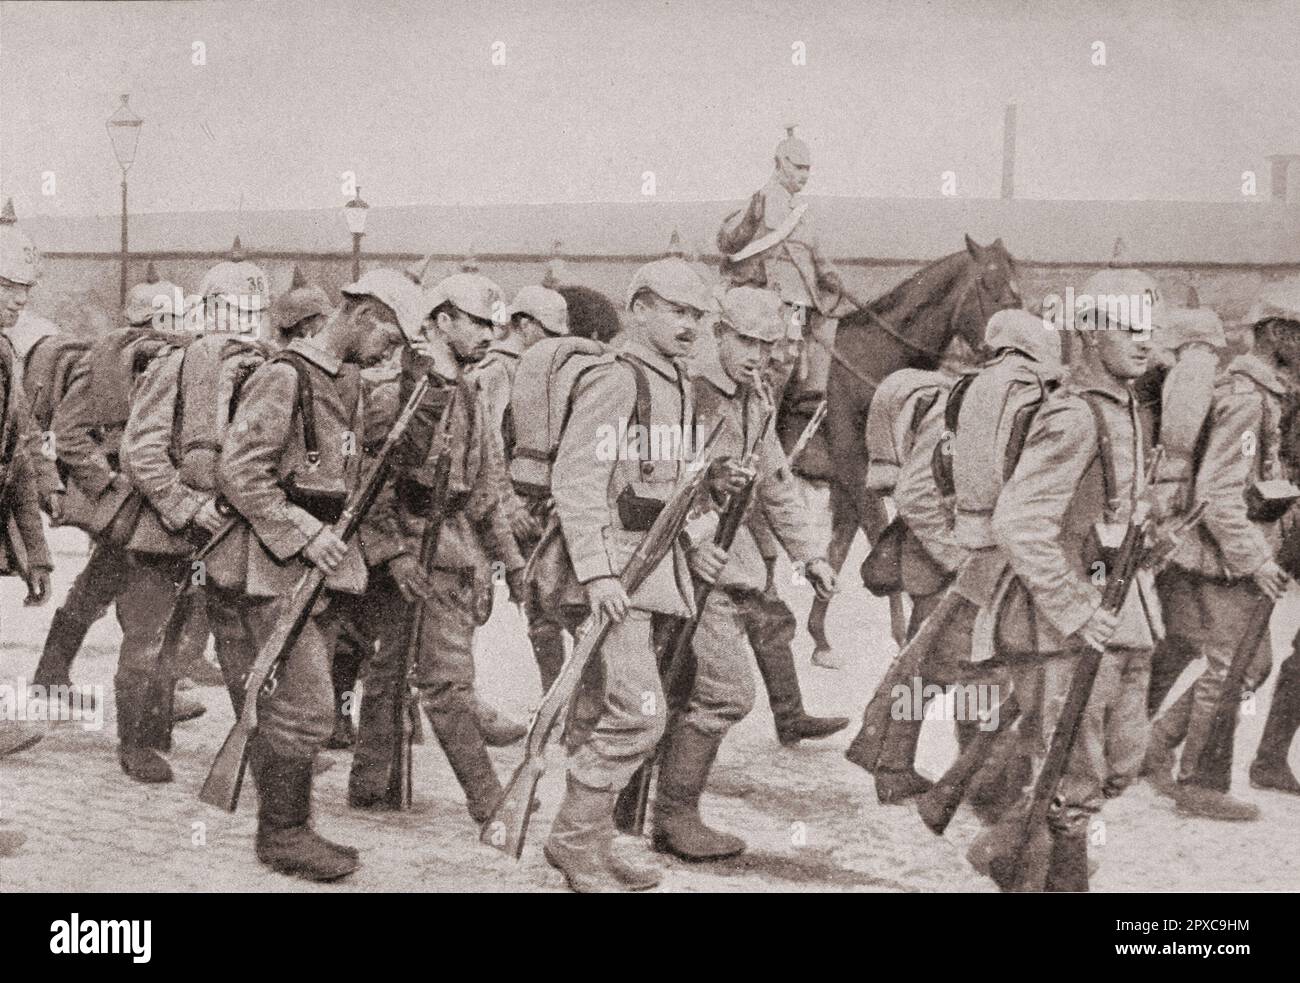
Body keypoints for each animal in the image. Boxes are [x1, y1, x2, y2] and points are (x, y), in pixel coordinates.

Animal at [790, 232, 1024, 660]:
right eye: (989, 283)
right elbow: (878, 537)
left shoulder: (848, 483)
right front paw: (904, 636)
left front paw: (820, 637)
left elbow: (839, 547)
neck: (876, 361)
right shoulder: (857, 473)